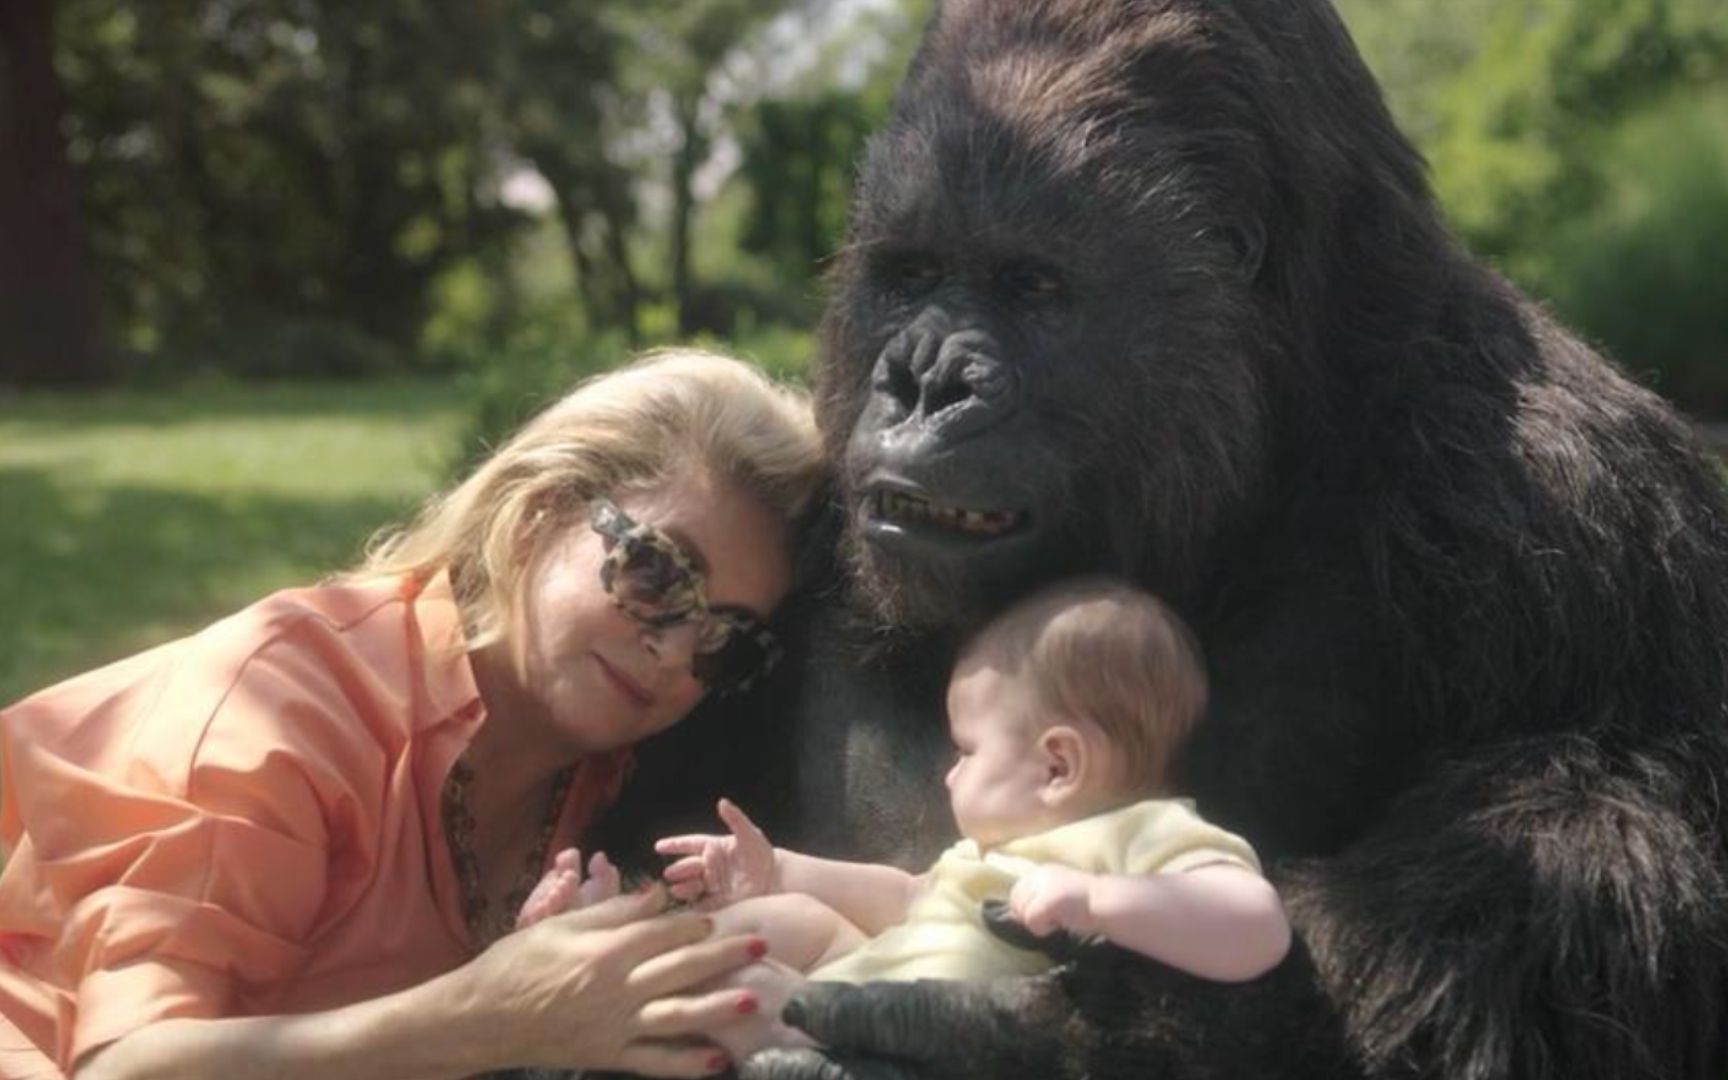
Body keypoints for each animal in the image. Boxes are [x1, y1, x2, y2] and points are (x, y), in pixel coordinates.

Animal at [594, 2, 1728, 1078]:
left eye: (1032, 286)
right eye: (911, 274)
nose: (921, 382)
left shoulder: (1568, 497)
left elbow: (1594, 841)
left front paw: (1065, 1032)